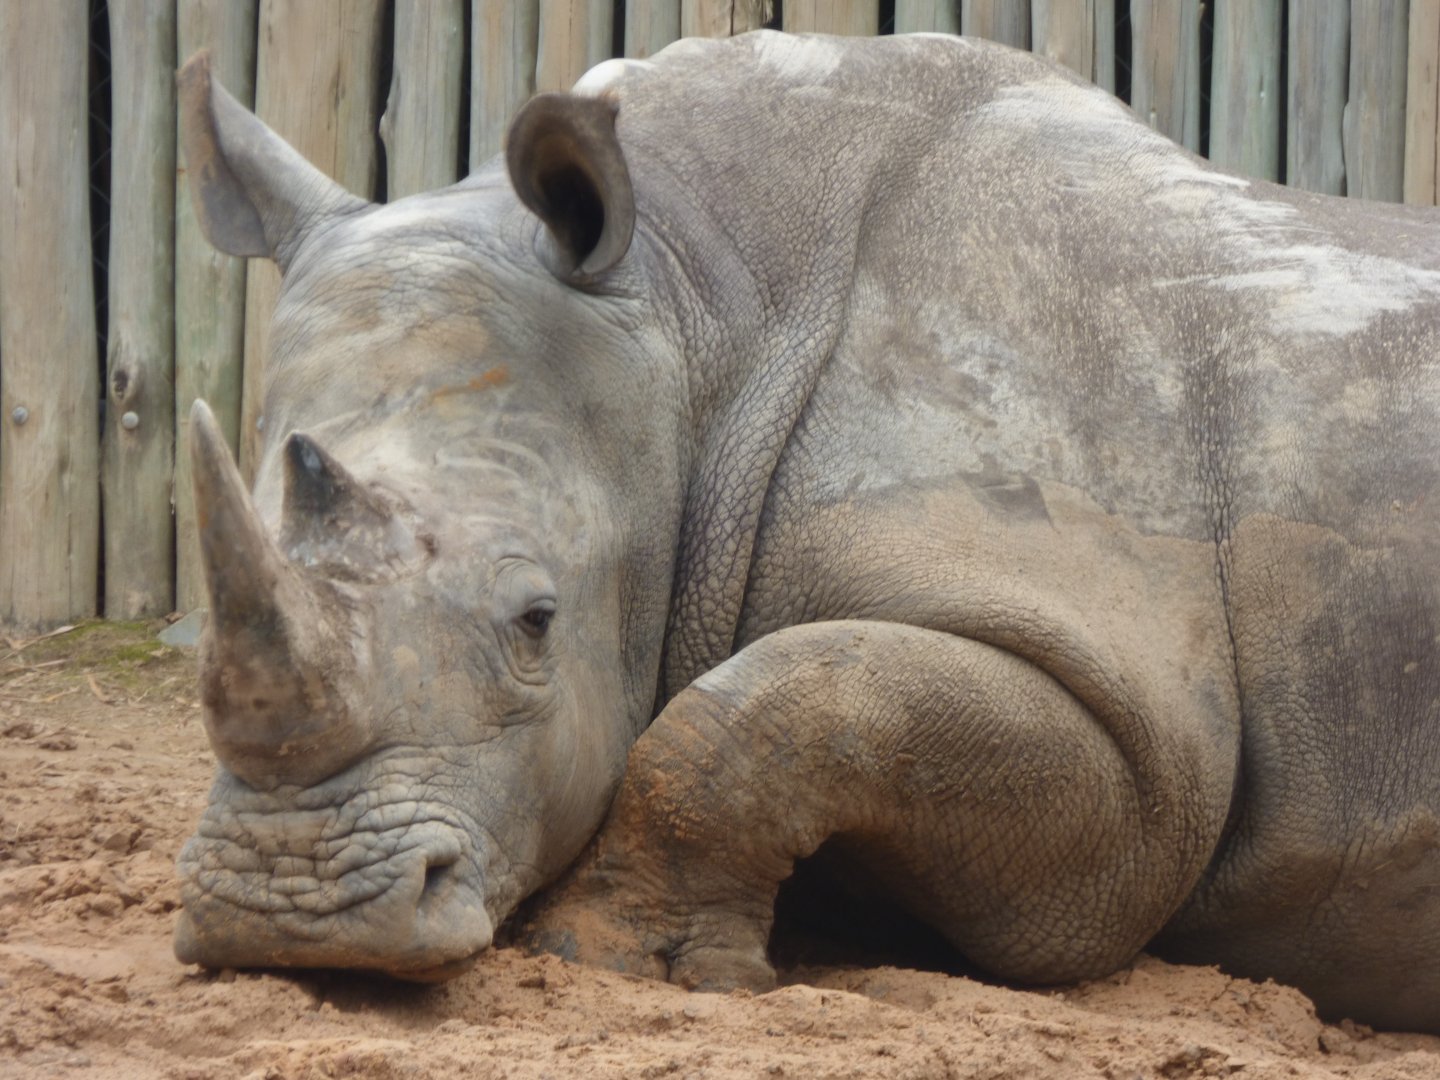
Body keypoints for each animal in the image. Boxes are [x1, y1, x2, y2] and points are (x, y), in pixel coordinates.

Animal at [172, 30, 1440, 1032]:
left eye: (536, 622)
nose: (290, 910)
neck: (687, 312)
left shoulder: (1143, 752)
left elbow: (767, 710)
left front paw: (614, 954)